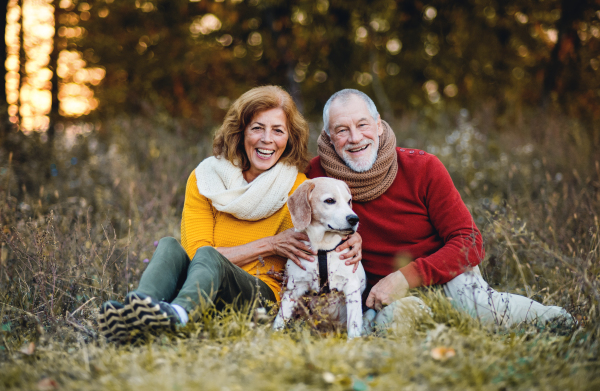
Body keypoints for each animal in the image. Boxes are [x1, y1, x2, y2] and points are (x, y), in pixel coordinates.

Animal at [272, 178, 366, 340]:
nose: (354, 219)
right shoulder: (294, 288)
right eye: (330, 200)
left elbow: (353, 326)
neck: (322, 250)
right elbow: (280, 319)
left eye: (349, 201)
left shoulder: (351, 287)